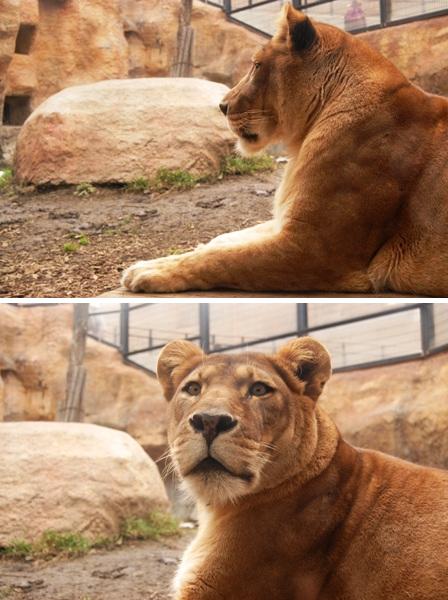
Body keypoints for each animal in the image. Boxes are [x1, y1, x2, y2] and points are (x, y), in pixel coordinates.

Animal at [121, 3, 448, 296]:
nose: (222, 106)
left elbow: (224, 260)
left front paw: (151, 269)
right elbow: (237, 236)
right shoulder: (290, 223)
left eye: (256, 66)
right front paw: (203, 244)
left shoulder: (314, 250)